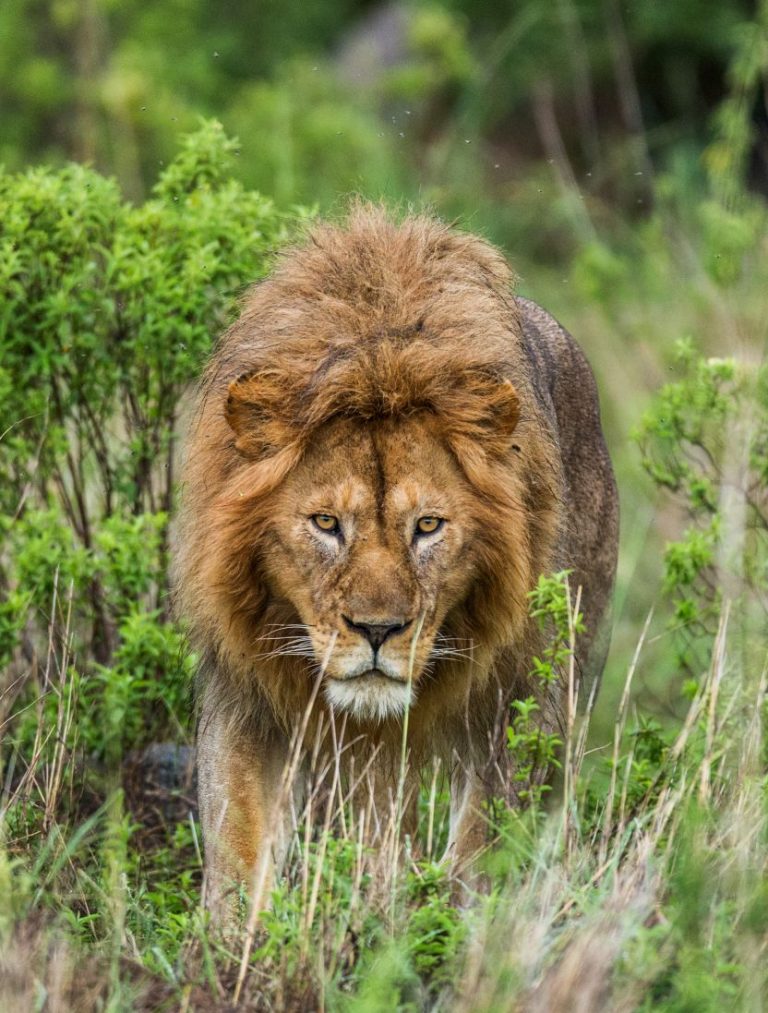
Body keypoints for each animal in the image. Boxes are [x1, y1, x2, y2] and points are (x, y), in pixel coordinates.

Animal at [173, 203, 620, 919]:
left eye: (428, 527)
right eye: (327, 523)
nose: (378, 632)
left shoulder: (521, 700)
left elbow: (483, 845)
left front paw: (456, 932)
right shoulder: (244, 691)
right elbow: (236, 836)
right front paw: (232, 940)